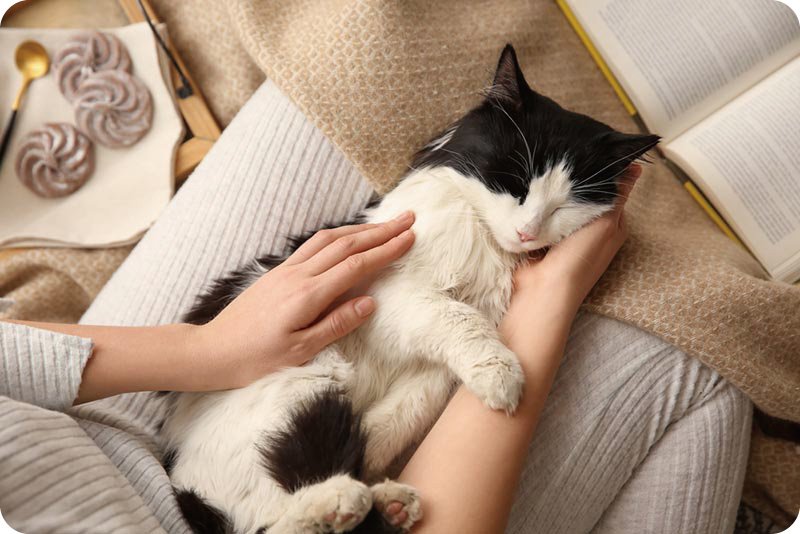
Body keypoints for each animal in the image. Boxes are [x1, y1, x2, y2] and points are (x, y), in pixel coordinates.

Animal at [159, 46, 660, 534]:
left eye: (564, 207)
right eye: (515, 183)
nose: (527, 232)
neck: (486, 244)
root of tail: (183, 482)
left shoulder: (434, 370)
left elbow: (401, 417)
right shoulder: (387, 294)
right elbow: (457, 320)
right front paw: (503, 378)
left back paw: (385, 503)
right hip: (307, 381)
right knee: (270, 523)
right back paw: (339, 502)